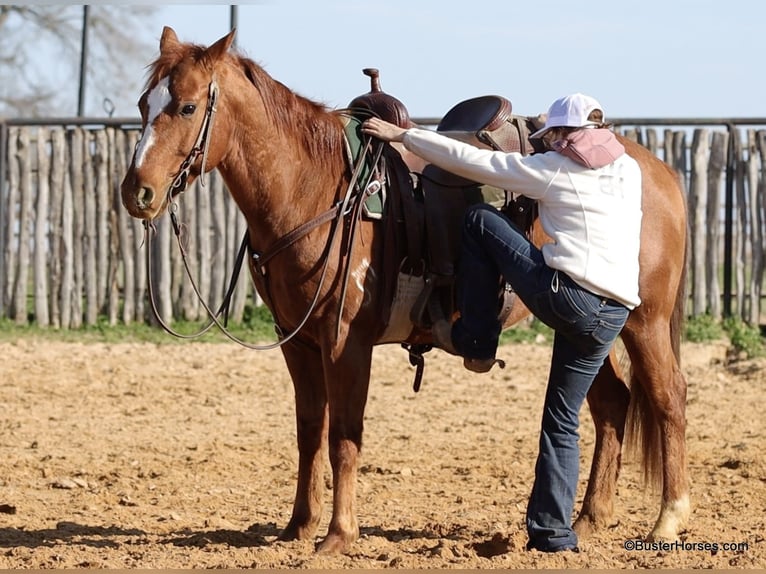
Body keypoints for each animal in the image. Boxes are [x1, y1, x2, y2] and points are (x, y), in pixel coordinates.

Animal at [120, 26, 690, 554]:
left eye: (188, 105)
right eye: (144, 104)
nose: (136, 192)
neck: (317, 186)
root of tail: (657, 170)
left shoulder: (345, 342)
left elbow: (343, 437)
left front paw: (339, 535)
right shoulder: (297, 342)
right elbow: (309, 432)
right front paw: (298, 527)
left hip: (644, 321)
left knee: (668, 398)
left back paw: (668, 520)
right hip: (580, 326)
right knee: (612, 404)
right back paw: (589, 521)